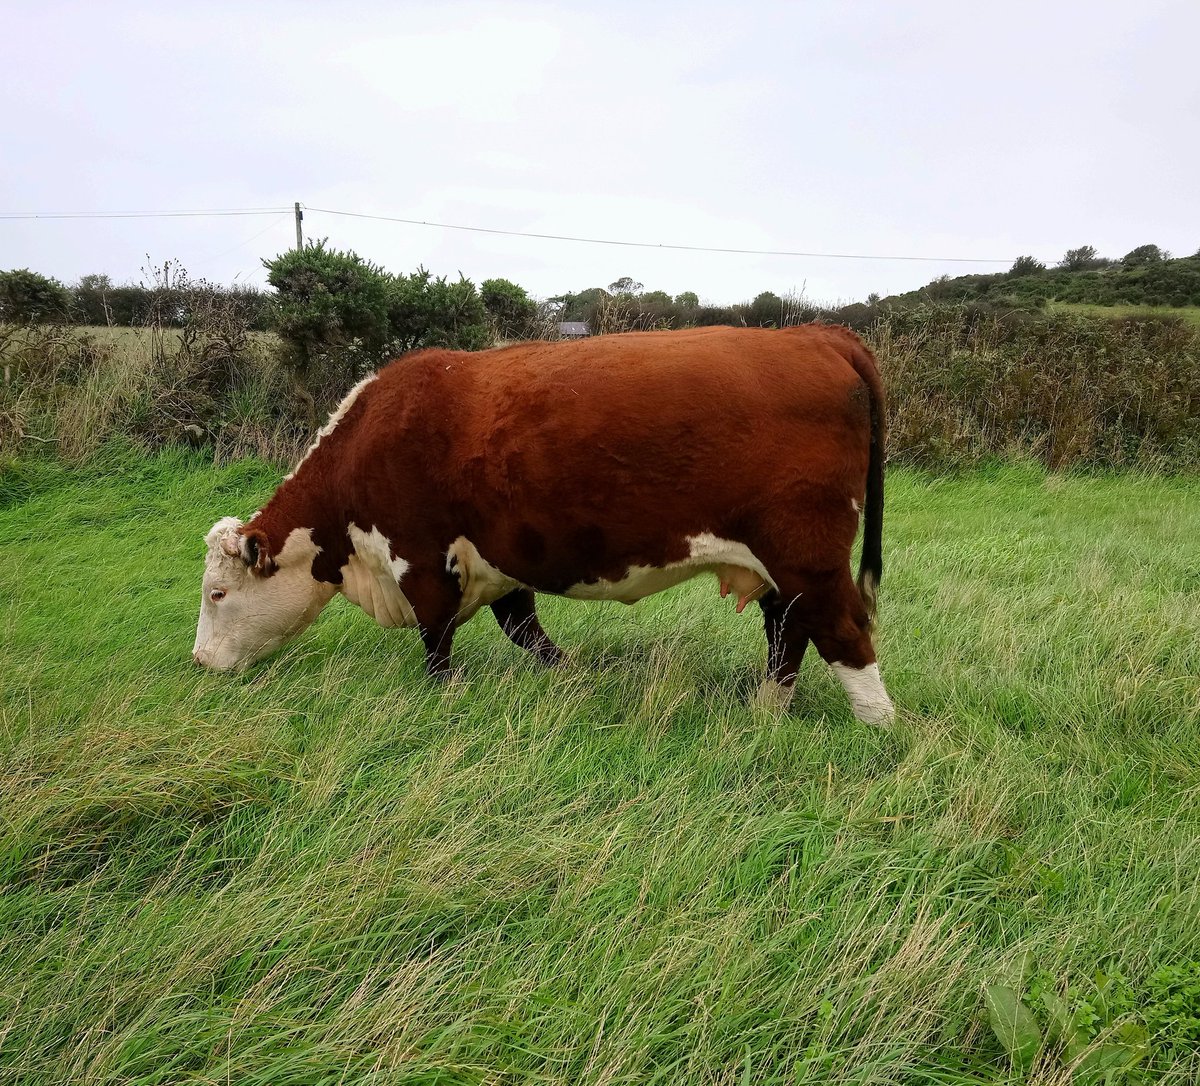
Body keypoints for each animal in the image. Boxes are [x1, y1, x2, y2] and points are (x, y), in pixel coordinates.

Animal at [193, 324, 895, 724]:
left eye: (218, 593)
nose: (200, 662)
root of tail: (819, 333)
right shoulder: (501, 560)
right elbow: (526, 632)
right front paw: (575, 678)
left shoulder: (420, 560)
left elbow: (436, 642)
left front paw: (445, 699)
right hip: (781, 566)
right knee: (787, 629)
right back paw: (766, 713)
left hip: (806, 555)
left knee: (841, 631)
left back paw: (878, 730)